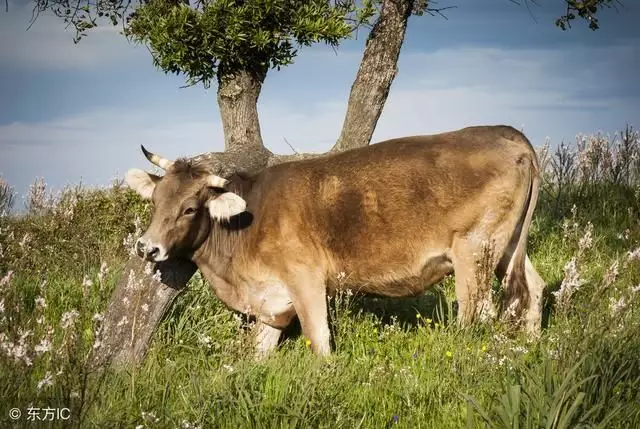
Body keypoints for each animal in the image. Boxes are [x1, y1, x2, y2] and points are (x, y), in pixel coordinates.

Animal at [125, 125, 544, 356]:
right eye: (156, 200)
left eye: (190, 209)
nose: (146, 247)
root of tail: (506, 132)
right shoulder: (272, 301)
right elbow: (257, 353)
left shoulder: (306, 279)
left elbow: (319, 339)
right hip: (508, 248)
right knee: (533, 289)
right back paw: (530, 347)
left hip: (474, 249)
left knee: (476, 311)